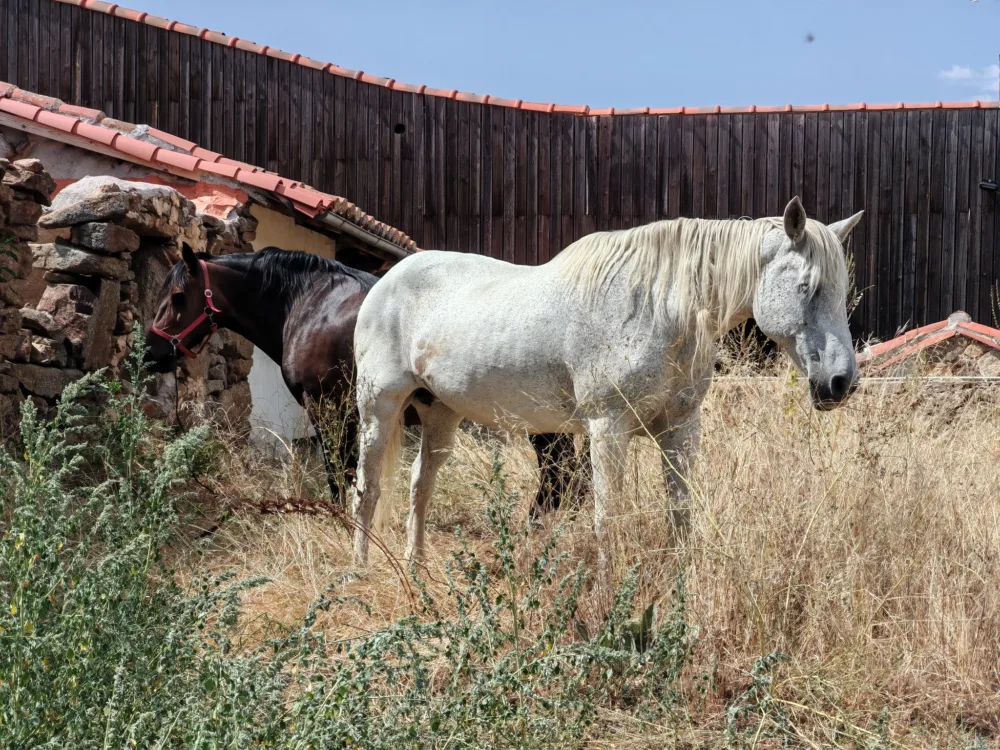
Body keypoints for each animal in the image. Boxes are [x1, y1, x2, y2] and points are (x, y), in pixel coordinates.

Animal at [142, 247, 580, 516]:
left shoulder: (327, 410)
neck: (310, 305)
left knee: (560, 476)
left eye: (178, 297)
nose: (151, 352)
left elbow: (340, 472)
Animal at [350, 197, 860, 568]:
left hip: (440, 413)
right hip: (378, 408)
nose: (841, 383)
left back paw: (416, 567)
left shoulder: (681, 431)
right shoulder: (607, 429)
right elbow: (605, 518)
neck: (656, 308)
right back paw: (362, 569)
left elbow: (681, 514)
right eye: (807, 288)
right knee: (368, 487)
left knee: (420, 485)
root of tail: (386, 280)